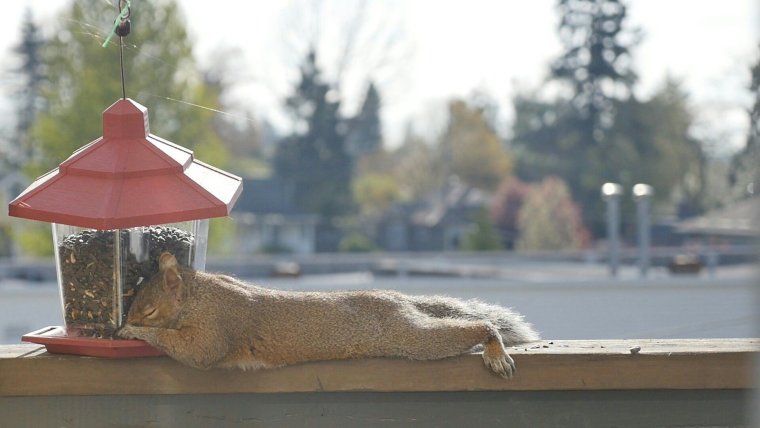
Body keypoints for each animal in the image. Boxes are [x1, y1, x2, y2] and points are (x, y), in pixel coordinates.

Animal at [117, 252, 539, 378]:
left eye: (149, 308)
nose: (125, 320)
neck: (198, 295)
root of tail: (399, 299)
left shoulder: (218, 324)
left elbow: (198, 352)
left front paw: (134, 333)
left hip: (410, 336)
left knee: (463, 331)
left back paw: (494, 348)